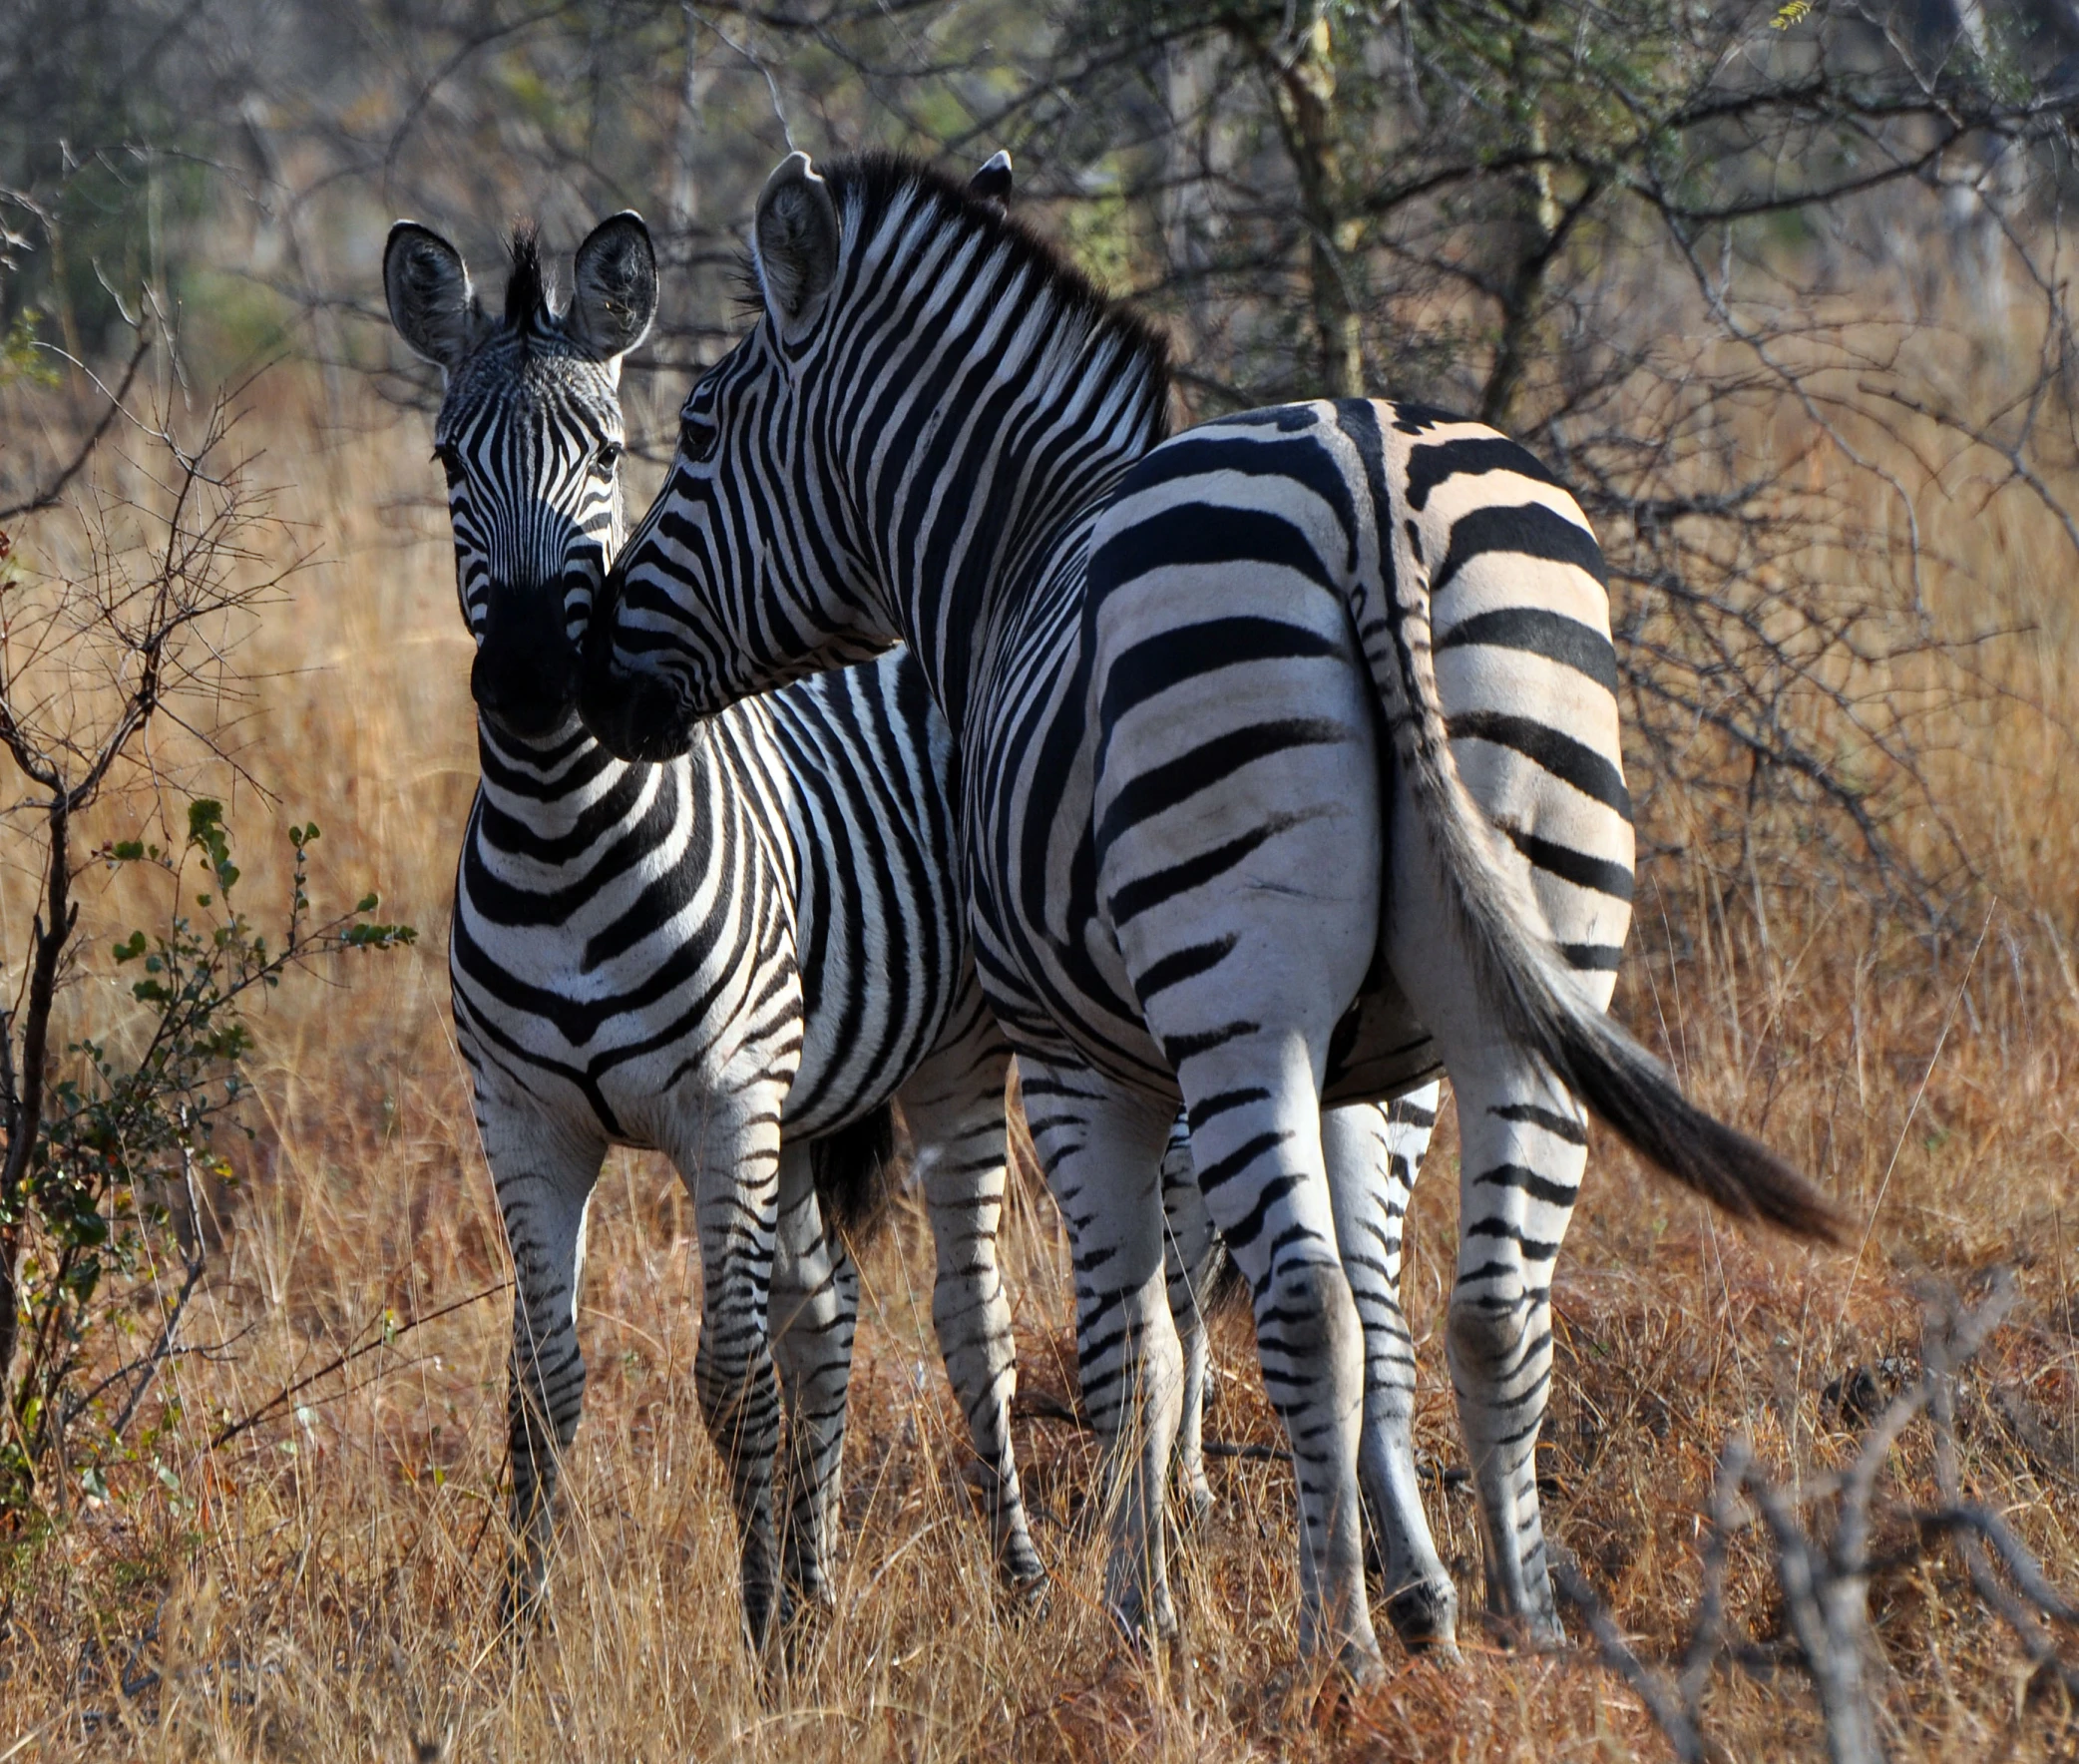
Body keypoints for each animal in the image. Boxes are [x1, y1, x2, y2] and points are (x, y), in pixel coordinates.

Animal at [380, 210, 1047, 1655]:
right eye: (450, 461)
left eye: (604, 455)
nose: (531, 679)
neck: (564, 836)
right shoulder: (523, 1117)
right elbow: (541, 1382)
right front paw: (523, 1627)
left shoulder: (724, 1100)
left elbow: (725, 1375)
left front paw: (753, 1639)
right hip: (802, 1099)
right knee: (828, 1307)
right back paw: (818, 1582)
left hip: (952, 1058)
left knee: (971, 1320)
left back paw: (1022, 1582)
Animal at [582, 155, 1838, 1680]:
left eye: (699, 431)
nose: (585, 672)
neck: (1009, 557)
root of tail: (1366, 474)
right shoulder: (1374, 1068)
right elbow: (1371, 1316)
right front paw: (1421, 1594)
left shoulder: (1079, 1065)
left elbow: (1136, 1345)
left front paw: (1145, 1615)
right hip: (1537, 954)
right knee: (1490, 1307)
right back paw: (1523, 1628)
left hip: (1234, 995)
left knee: (1299, 1306)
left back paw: (1331, 1654)